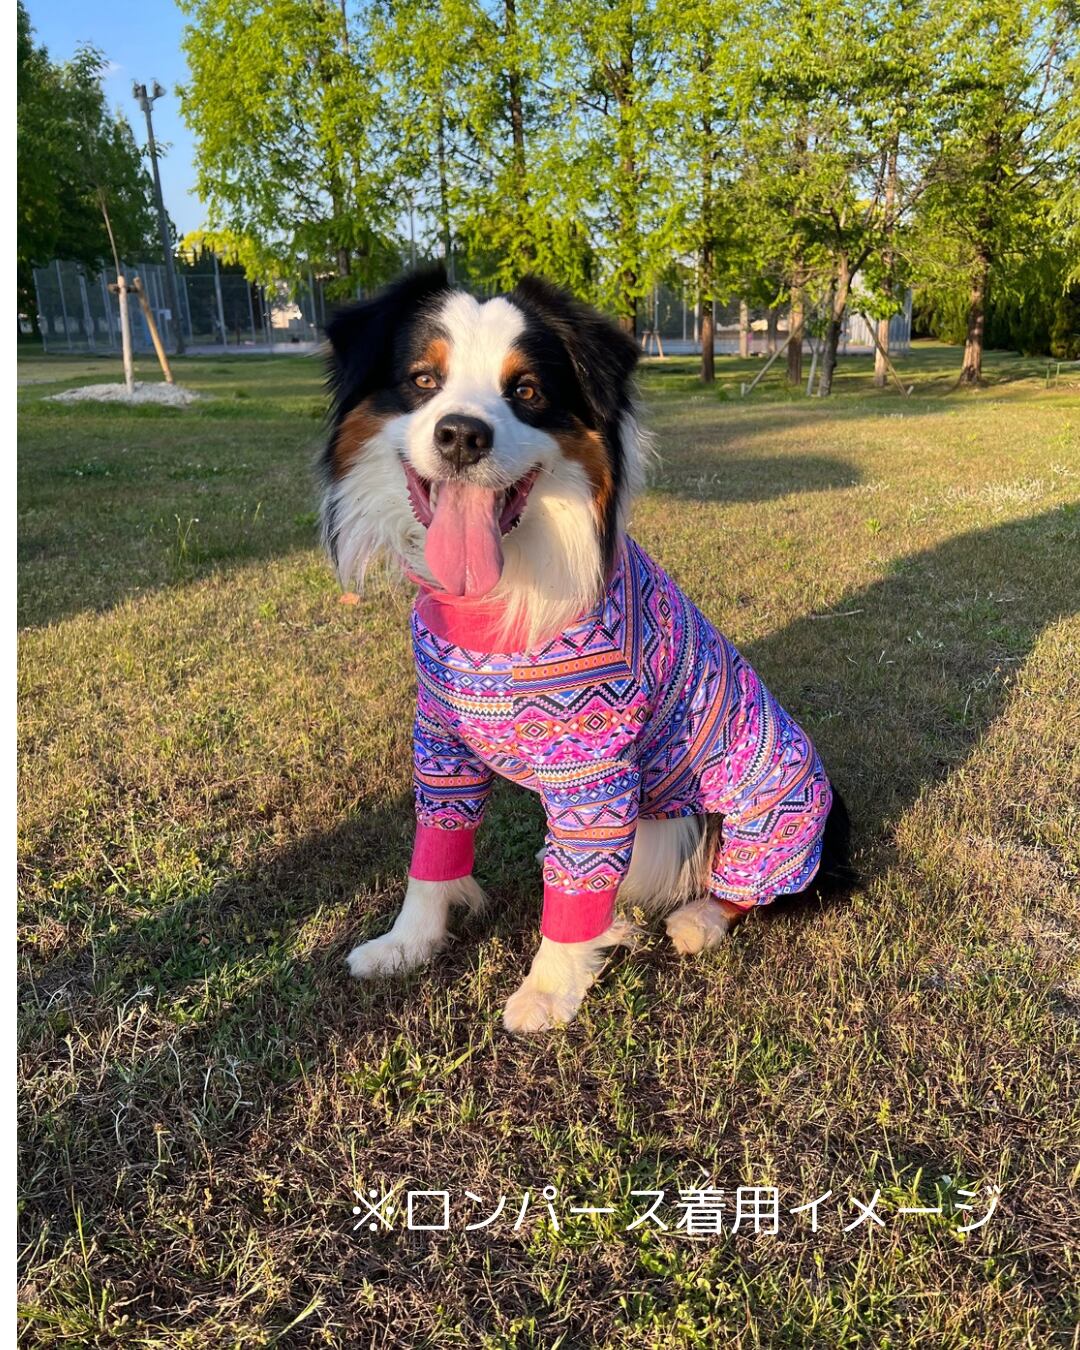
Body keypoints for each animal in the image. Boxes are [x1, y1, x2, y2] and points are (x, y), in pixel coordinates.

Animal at [321, 268, 851, 1033]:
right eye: (423, 379)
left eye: (527, 390)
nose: (461, 434)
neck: (500, 597)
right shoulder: (441, 745)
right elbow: (434, 851)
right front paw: (406, 944)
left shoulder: (594, 774)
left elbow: (574, 888)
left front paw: (549, 988)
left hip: (773, 807)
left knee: (759, 882)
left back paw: (697, 919)